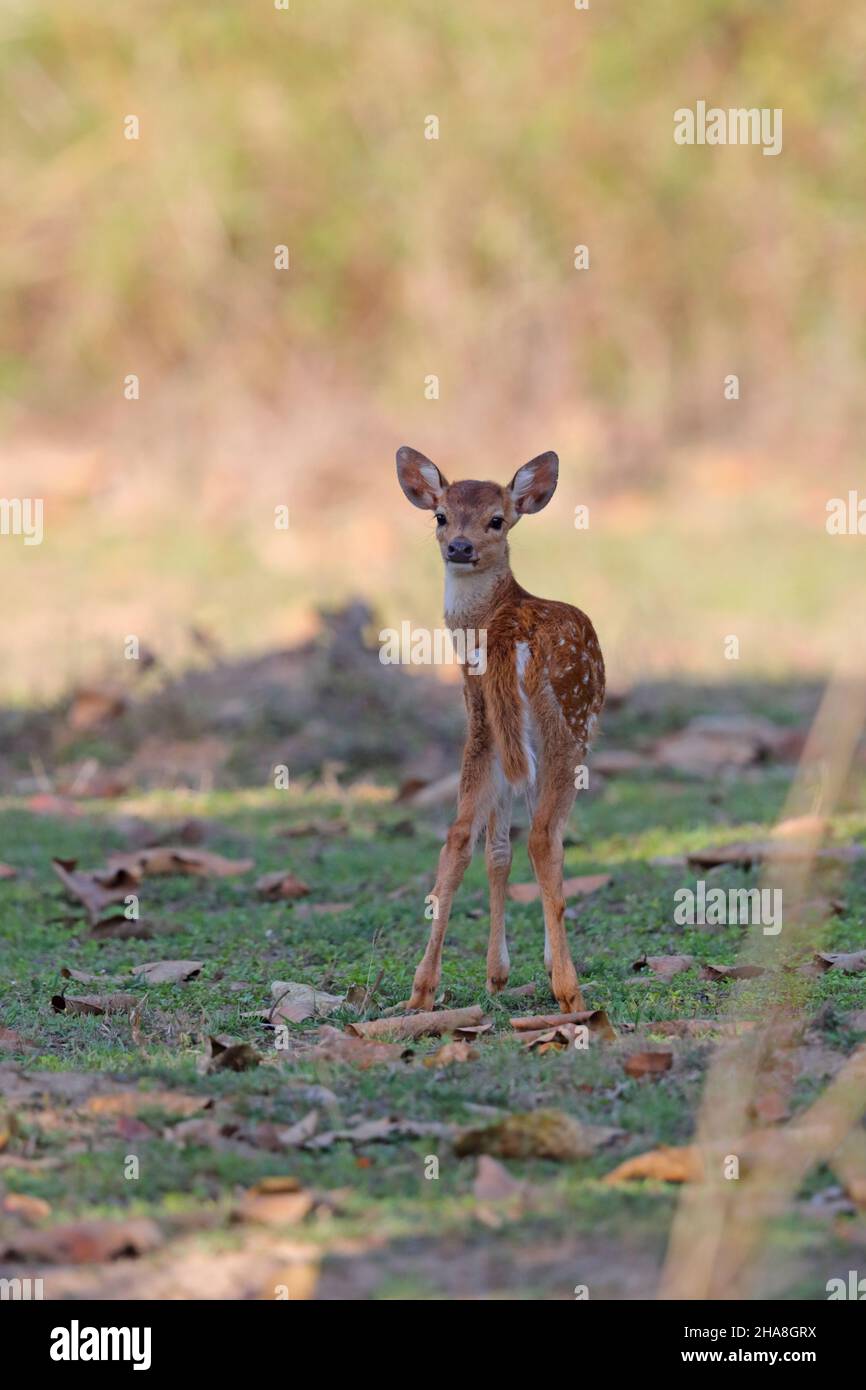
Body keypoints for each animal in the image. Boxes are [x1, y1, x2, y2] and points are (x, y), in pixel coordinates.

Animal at [396, 445, 605, 1015]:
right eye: (441, 516)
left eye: (496, 519)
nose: (459, 546)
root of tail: (513, 635)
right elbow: (527, 844)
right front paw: (526, 968)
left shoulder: (489, 721)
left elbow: (495, 852)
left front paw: (495, 974)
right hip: (568, 723)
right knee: (544, 837)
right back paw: (570, 990)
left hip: (486, 725)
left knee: (457, 835)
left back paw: (421, 991)